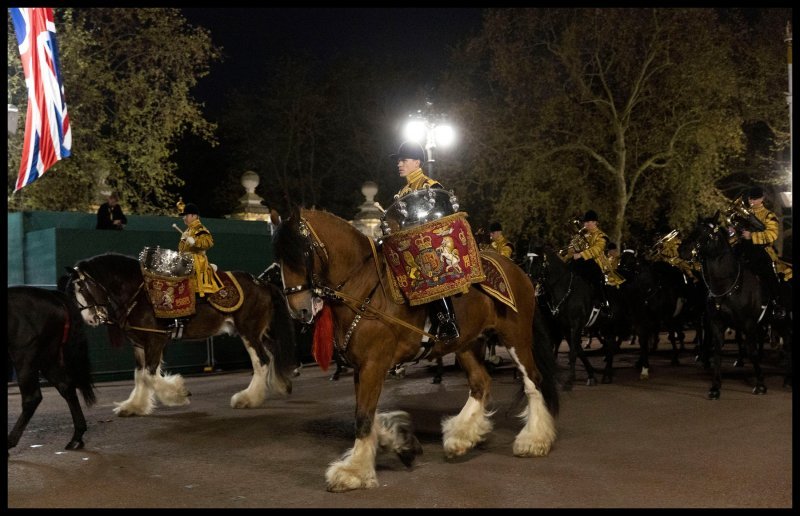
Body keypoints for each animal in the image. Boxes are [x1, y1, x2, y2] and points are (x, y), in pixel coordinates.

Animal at [7, 284, 97, 454]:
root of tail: (53, 296)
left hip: (26, 358)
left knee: (32, 398)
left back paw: (10, 442)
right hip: (47, 358)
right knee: (66, 387)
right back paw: (76, 438)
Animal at [63, 252, 296, 418]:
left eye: (82, 288)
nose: (90, 319)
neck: (142, 295)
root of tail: (262, 283)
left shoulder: (156, 340)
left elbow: (149, 375)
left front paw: (178, 394)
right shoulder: (139, 344)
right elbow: (140, 375)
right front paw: (134, 406)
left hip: (249, 331)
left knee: (261, 361)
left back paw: (248, 398)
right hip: (259, 333)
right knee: (272, 353)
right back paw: (279, 384)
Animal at [272, 209, 560, 492]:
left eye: (302, 252)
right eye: (278, 258)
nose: (299, 310)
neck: (364, 290)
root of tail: (518, 271)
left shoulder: (374, 364)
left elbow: (363, 416)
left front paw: (353, 472)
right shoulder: (361, 367)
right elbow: (366, 413)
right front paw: (400, 442)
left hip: (515, 337)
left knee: (532, 381)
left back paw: (533, 440)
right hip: (466, 344)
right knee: (481, 382)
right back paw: (460, 437)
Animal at [680, 214, 792, 400]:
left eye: (708, 232)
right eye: (694, 229)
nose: (682, 250)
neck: (727, 284)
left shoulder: (748, 324)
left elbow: (752, 351)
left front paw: (760, 385)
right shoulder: (717, 323)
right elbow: (717, 351)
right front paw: (715, 387)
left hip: (783, 321)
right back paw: (787, 379)